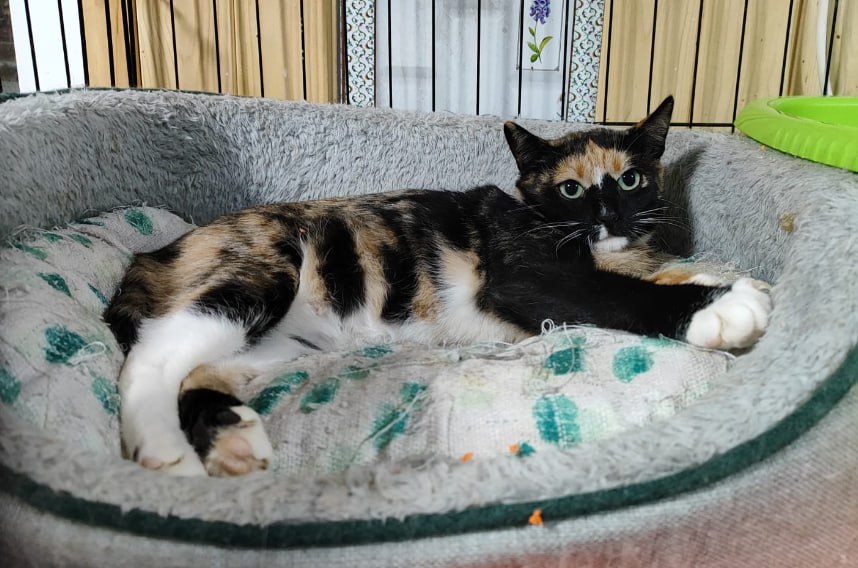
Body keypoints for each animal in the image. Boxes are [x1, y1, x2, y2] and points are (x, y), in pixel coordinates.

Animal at [104, 96, 771, 477]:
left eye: (631, 179)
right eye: (571, 189)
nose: (608, 216)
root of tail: (159, 251)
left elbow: (646, 273)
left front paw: (720, 278)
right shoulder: (519, 274)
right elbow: (614, 295)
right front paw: (723, 307)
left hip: (281, 344)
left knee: (199, 368)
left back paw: (231, 437)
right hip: (262, 269)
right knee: (150, 359)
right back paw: (167, 453)